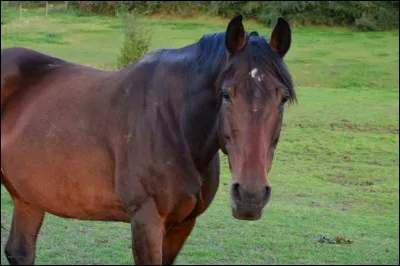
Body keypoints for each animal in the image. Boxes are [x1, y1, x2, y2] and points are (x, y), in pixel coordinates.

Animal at [0, 15, 296, 264]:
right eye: (225, 94)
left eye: (283, 98)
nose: (250, 195)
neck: (174, 124)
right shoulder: (146, 221)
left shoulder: (182, 224)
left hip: (28, 199)